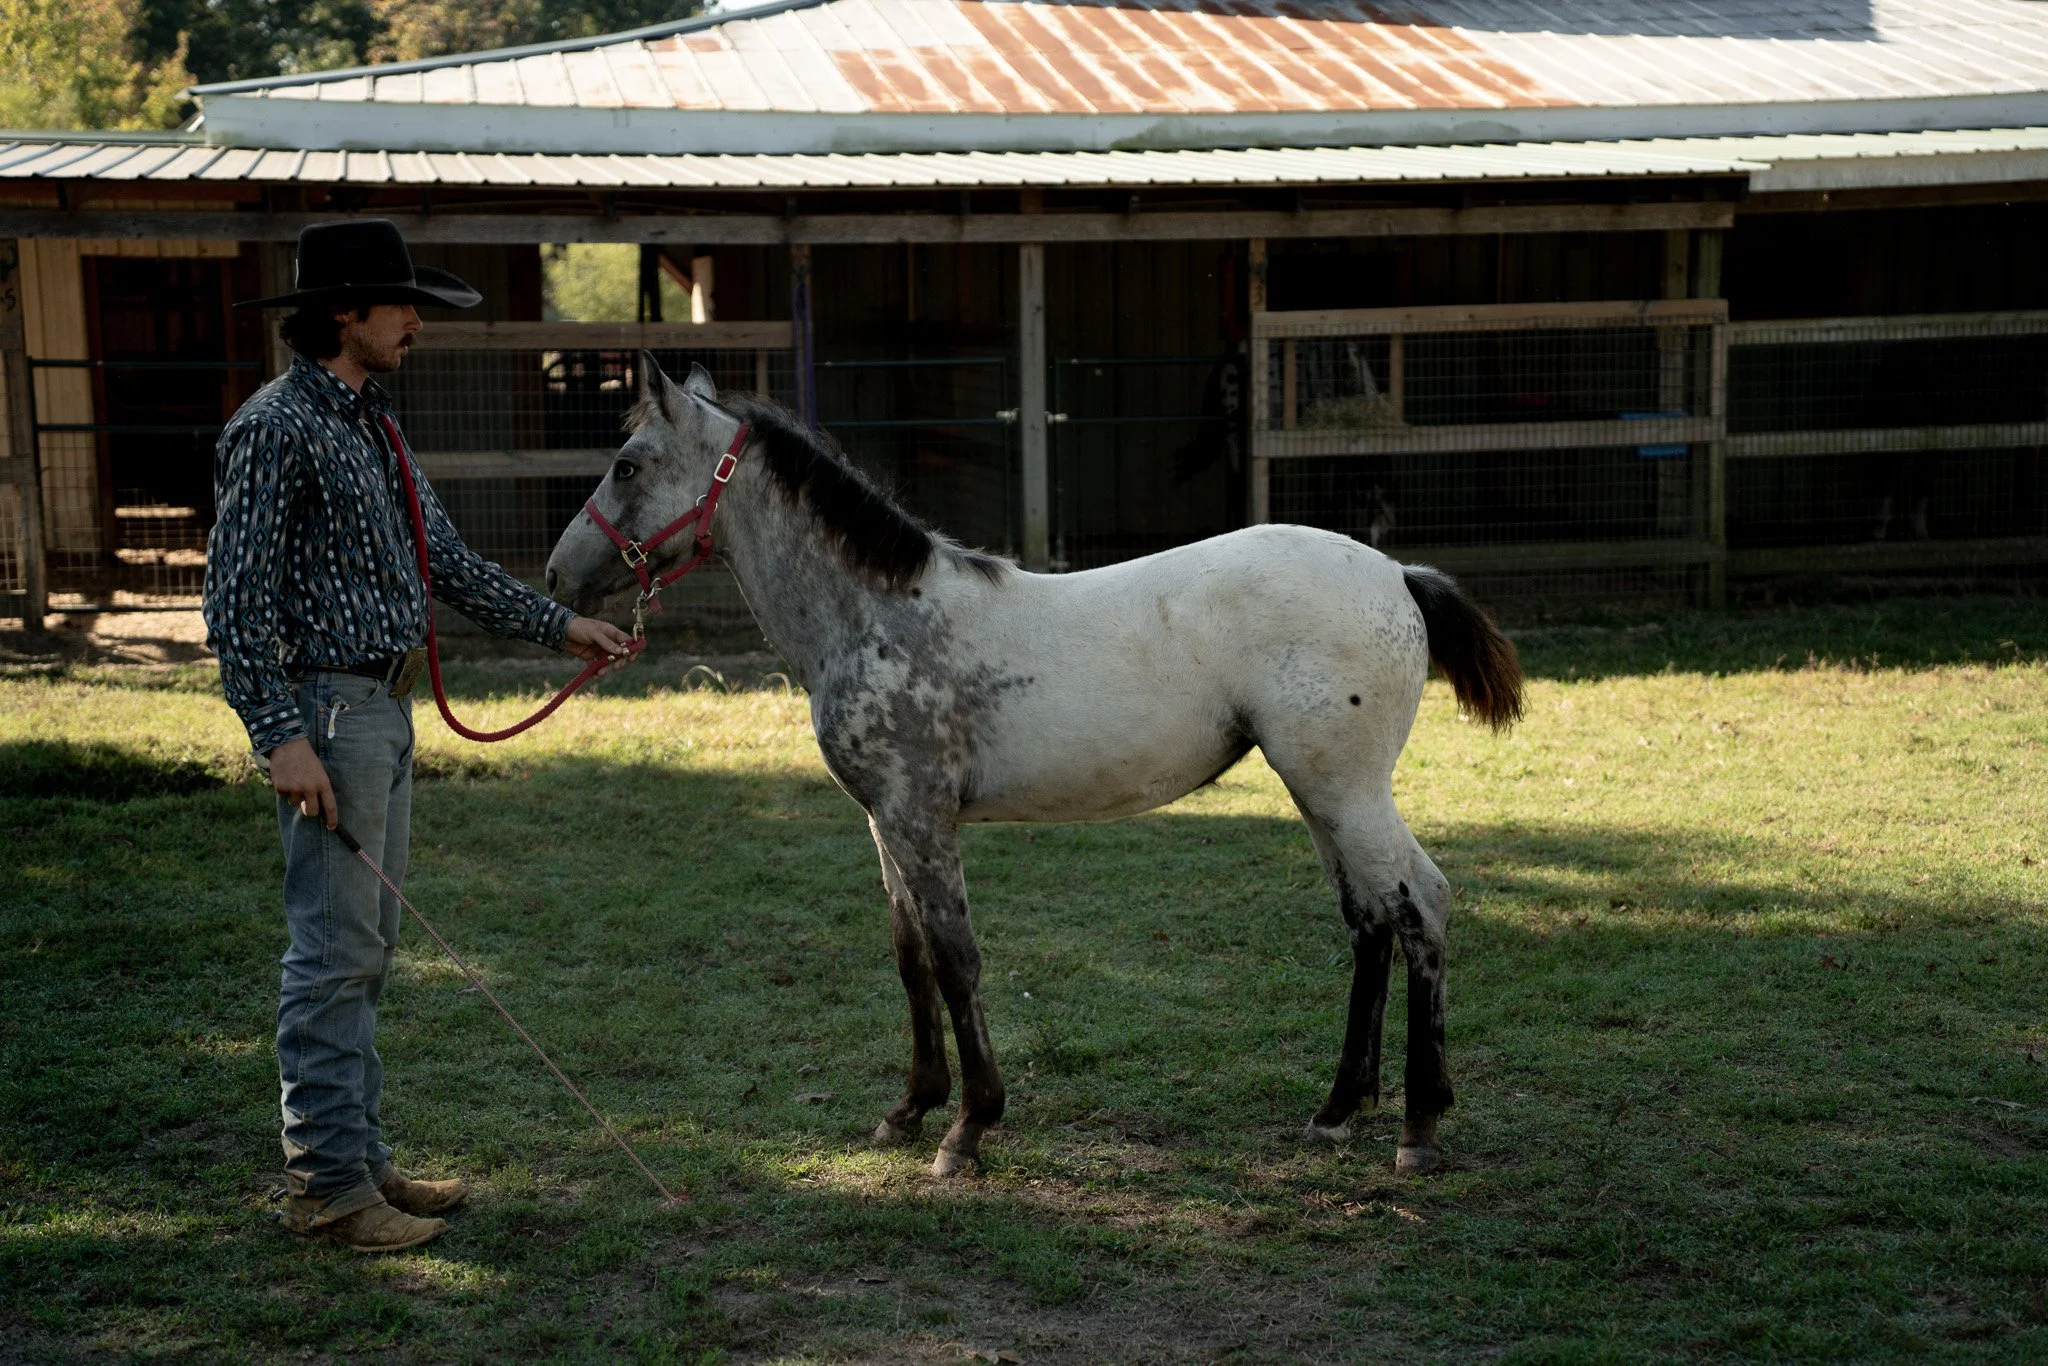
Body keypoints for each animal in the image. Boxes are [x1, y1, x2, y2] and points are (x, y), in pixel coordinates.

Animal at [544, 358, 1524, 1178]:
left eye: (627, 464)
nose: (557, 575)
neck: (879, 616)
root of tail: (1398, 574)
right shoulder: (884, 821)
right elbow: (909, 956)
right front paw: (909, 1109)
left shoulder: (919, 816)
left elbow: (956, 958)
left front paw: (968, 1128)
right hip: (1317, 792)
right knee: (1369, 920)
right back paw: (1335, 1110)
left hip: (1346, 790)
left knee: (1421, 905)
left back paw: (1418, 1126)